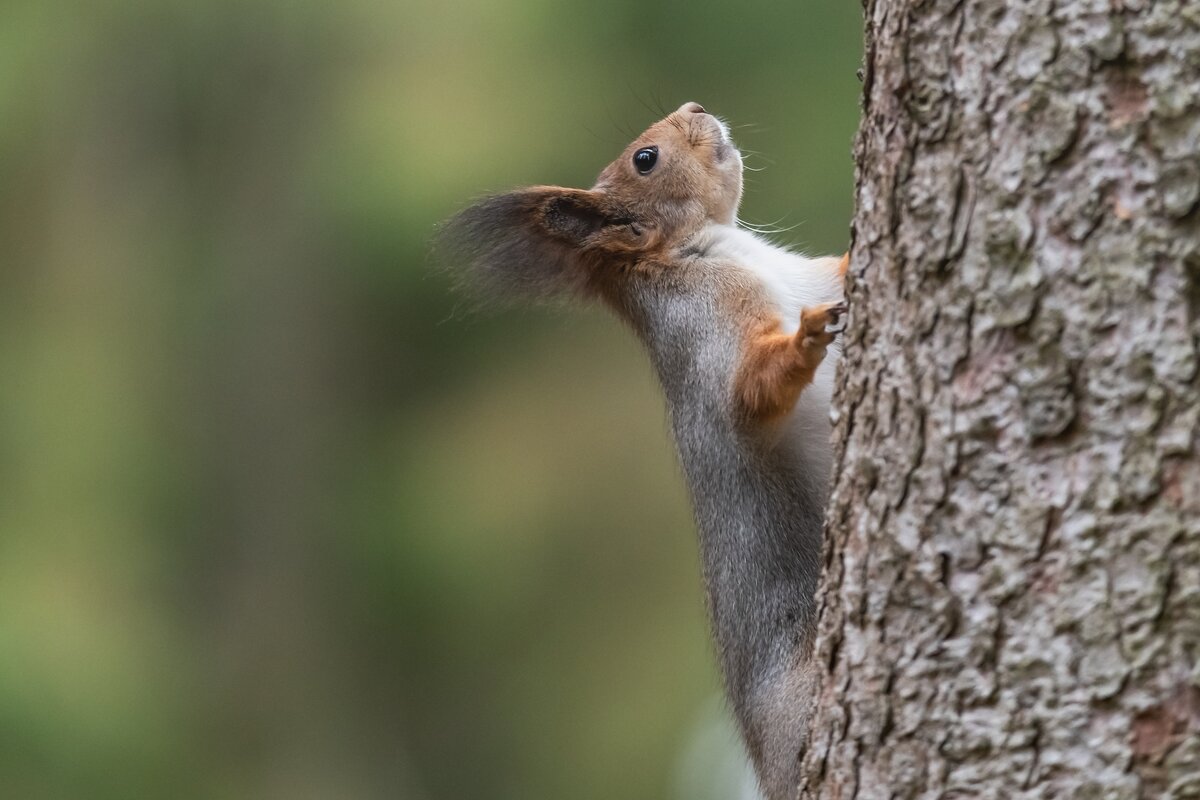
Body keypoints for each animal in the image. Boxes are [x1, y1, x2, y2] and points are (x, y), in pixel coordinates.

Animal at [439, 103, 844, 796]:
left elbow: (840, 268)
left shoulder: (809, 273)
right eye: (645, 159)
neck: (708, 248)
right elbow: (751, 391)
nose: (695, 108)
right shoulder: (705, 331)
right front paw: (805, 339)